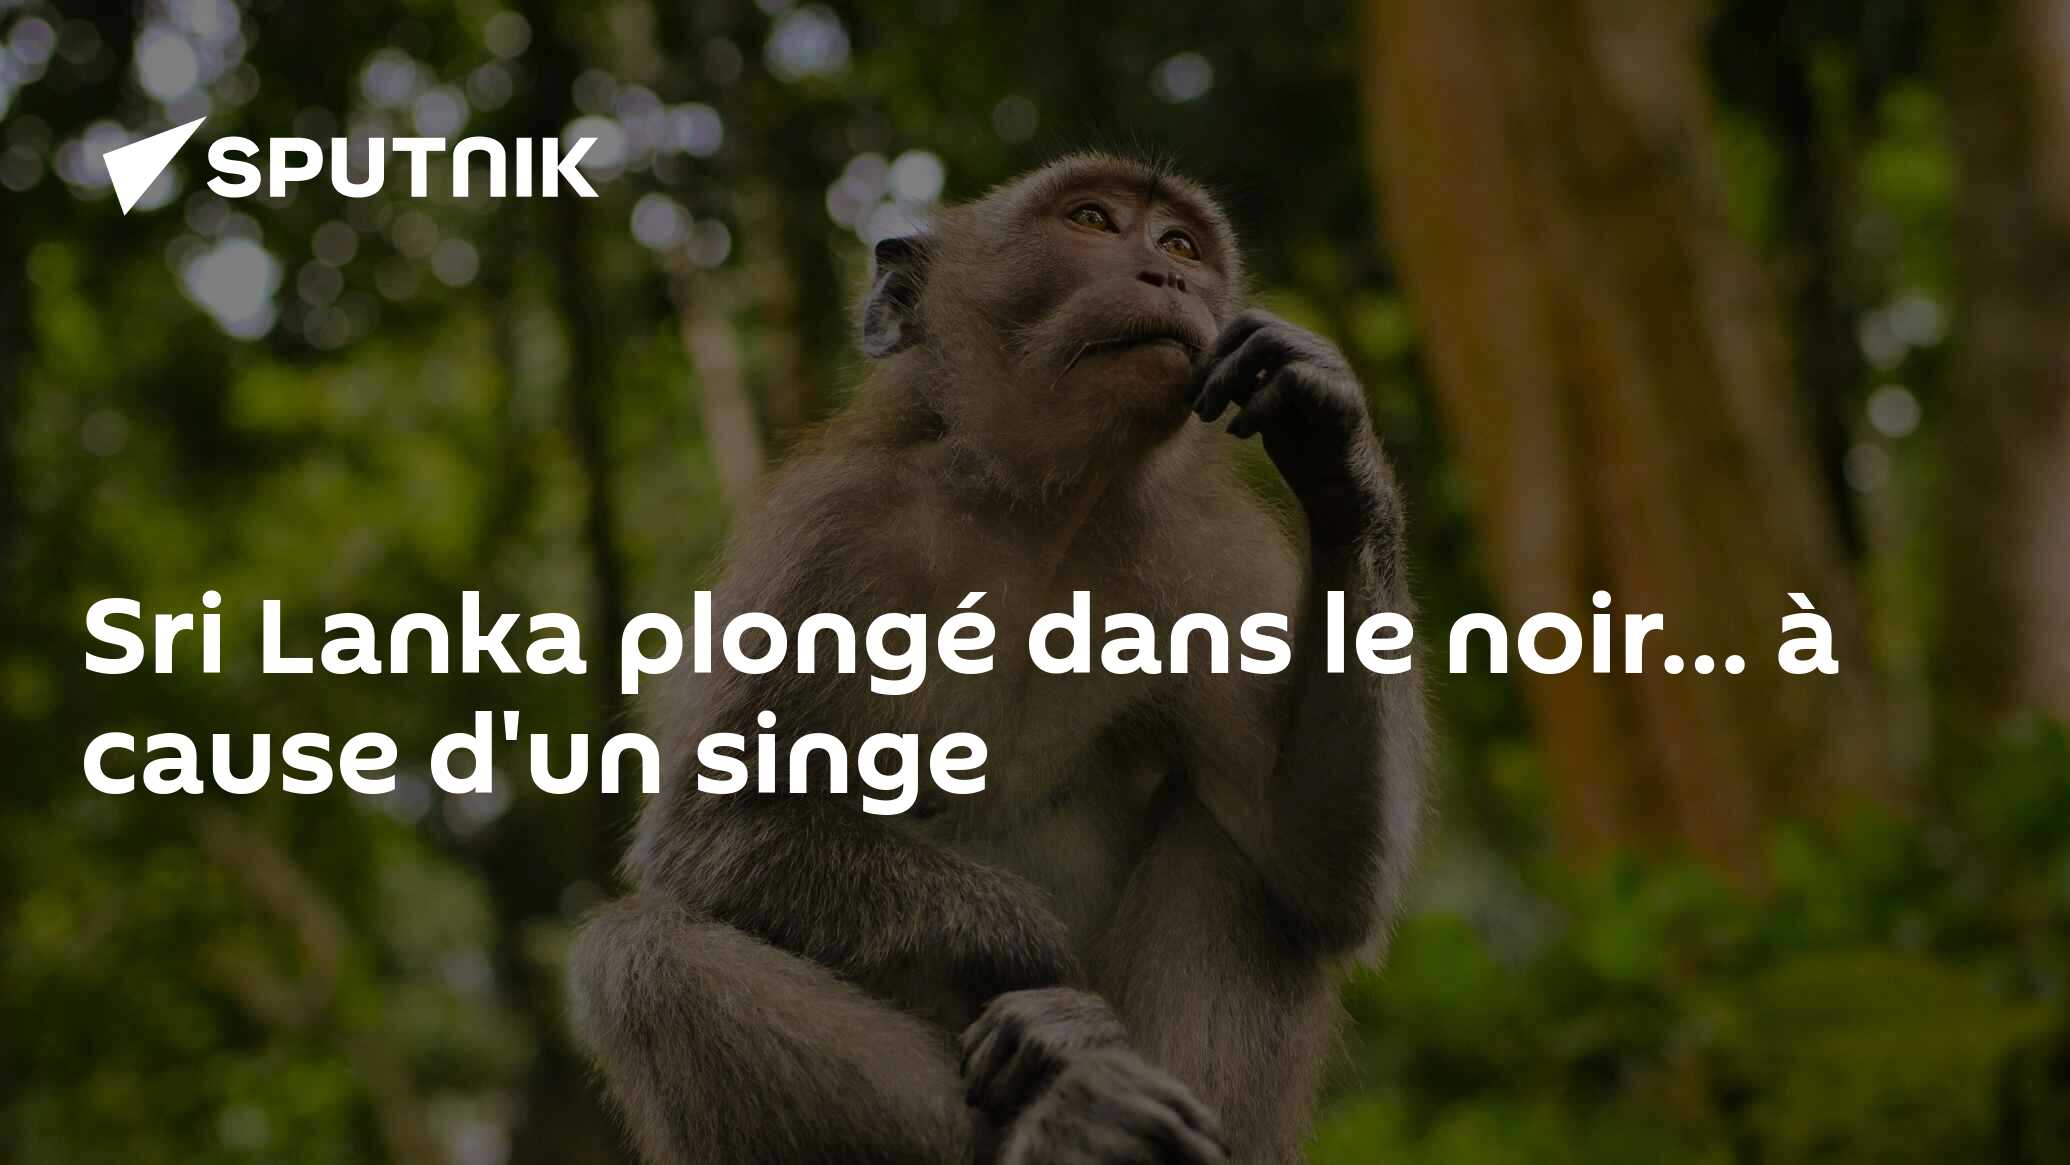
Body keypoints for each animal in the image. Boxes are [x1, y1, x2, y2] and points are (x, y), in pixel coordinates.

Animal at [568, 153, 1424, 1164]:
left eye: (1181, 244)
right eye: (1092, 221)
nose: (1169, 276)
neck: (1036, 511)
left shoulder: (1213, 560)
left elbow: (1319, 870)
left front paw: (1332, 440)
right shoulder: (828, 533)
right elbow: (710, 830)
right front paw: (1048, 971)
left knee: (1244, 856)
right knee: (641, 957)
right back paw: (1072, 1120)